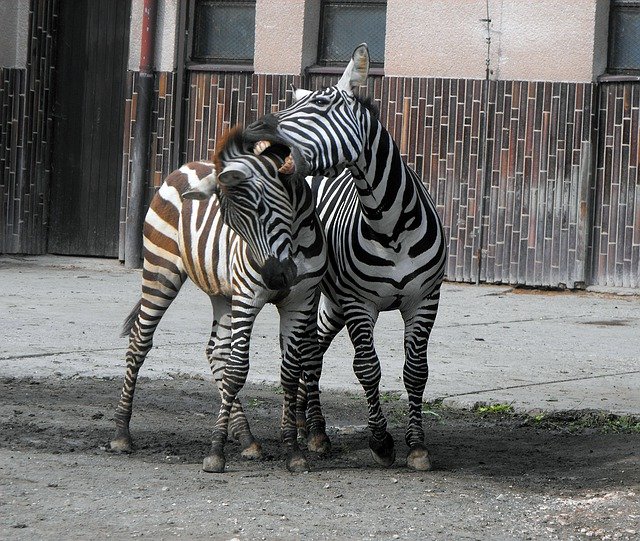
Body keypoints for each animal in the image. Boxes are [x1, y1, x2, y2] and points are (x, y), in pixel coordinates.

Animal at [110, 126, 330, 472]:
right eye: (233, 225)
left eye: (263, 210)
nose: (276, 277)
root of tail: (185, 166)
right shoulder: (249, 296)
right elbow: (239, 369)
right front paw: (215, 452)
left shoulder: (300, 301)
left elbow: (289, 372)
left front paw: (293, 451)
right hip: (161, 270)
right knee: (140, 342)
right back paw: (121, 434)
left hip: (222, 294)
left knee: (216, 352)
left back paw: (247, 439)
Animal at [248, 44, 448, 470]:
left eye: (322, 103)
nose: (256, 133)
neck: (389, 225)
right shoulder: (359, 303)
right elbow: (367, 368)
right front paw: (382, 442)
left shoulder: (425, 299)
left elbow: (416, 371)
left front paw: (417, 445)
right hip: (319, 295)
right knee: (307, 354)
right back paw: (316, 431)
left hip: (332, 303)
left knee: (314, 352)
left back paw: (306, 424)